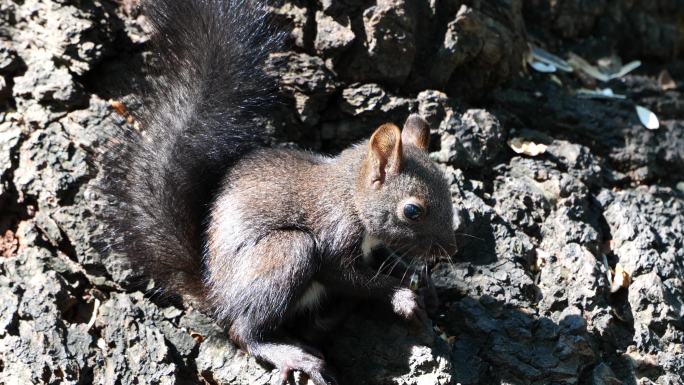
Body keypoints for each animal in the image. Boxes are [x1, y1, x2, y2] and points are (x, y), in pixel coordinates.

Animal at [100, 1, 454, 382]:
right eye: (412, 211)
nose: (450, 251)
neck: (351, 196)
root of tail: (214, 293)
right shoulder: (334, 236)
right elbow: (348, 276)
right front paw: (403, 296)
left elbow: (386, 259)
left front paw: (422, 281)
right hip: (287, 252)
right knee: (243, 331)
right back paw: (292, 355)